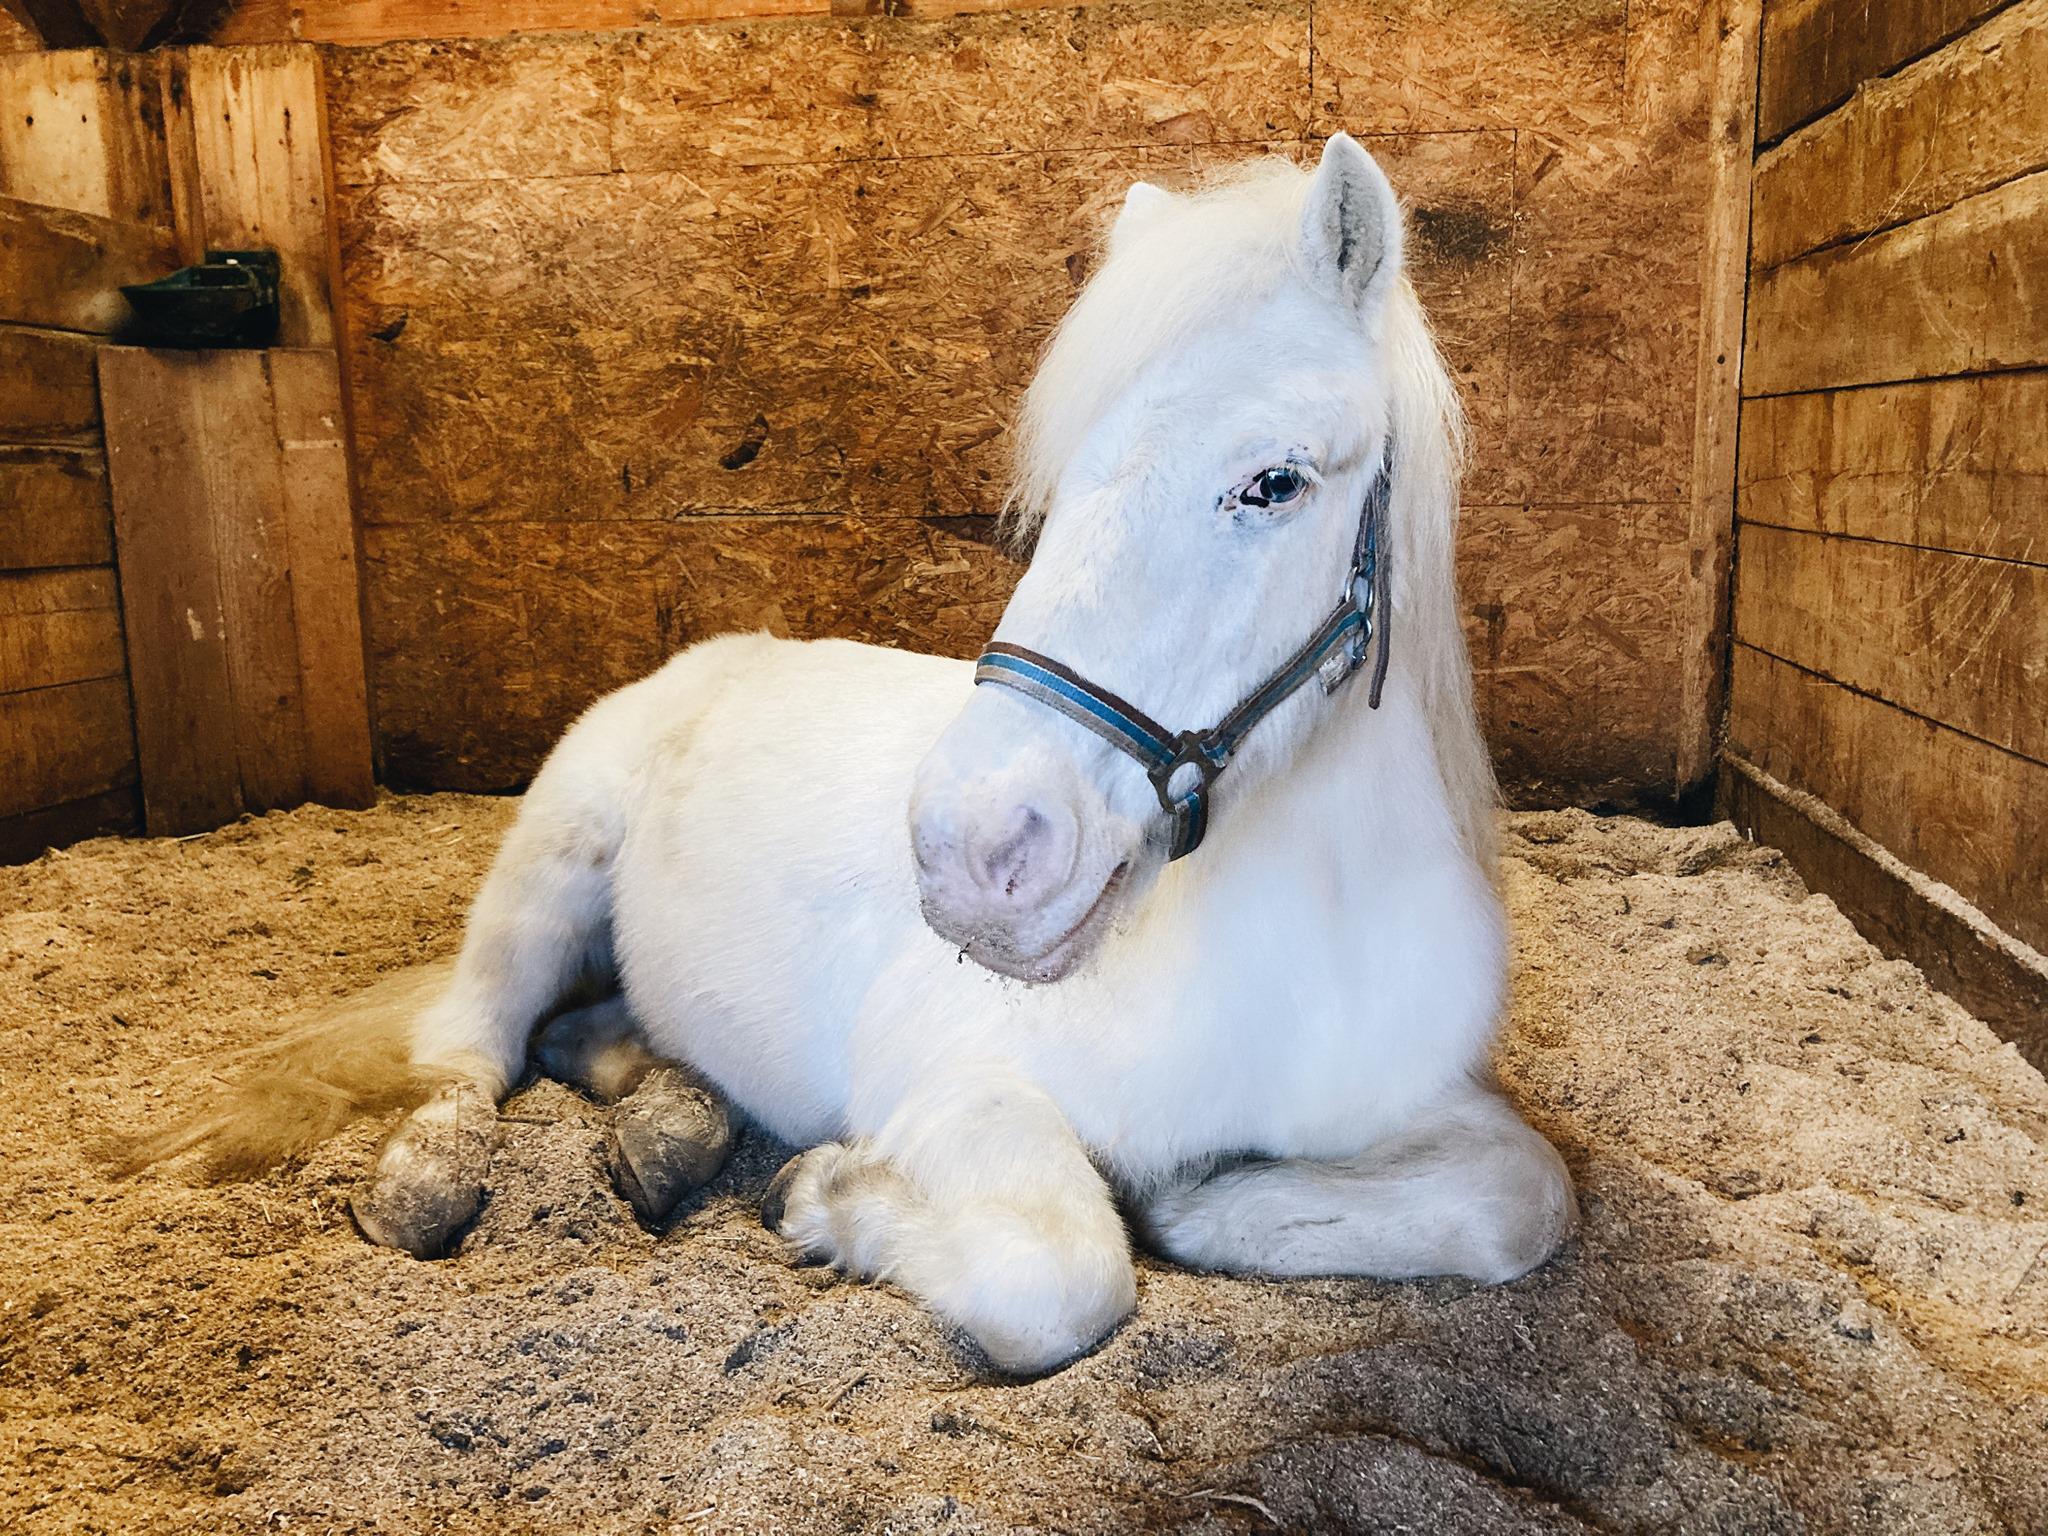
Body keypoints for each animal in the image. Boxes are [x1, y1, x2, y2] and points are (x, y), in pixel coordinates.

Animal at [157, 134, 1575, 1377]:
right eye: (1064, 480)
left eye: (1272, 483)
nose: (974, 853)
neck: (1292, 948)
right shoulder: (954, 1084)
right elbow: (1066, 1274)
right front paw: (827, 1196)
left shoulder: (1431, 1114)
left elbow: (1526, 1196)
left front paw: (1210, 1210)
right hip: (545, 873)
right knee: (471, 1047)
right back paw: (439, 1179)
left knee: (594, 1037)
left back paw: (667, 1127)